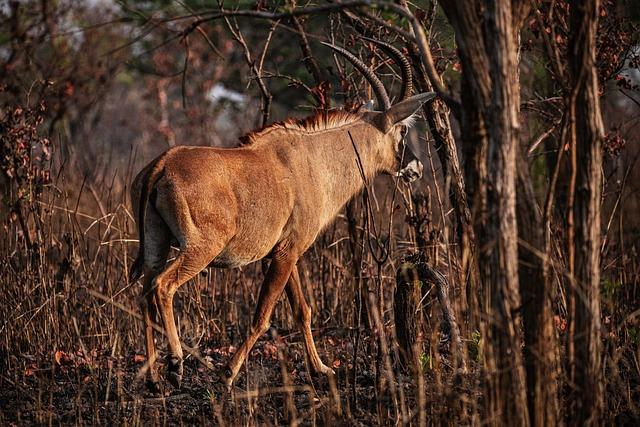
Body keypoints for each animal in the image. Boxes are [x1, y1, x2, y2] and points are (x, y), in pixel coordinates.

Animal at [131, 41, 438, 392]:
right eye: (402, 131)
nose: (416, 168)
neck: (315, 160)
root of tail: (163, 163)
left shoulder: (285, 252)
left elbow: (302, 310)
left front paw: (321, 370)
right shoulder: (288, 252)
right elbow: (262, 316)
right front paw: (228, 373)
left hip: (156, 245)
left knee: (145, 293)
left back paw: (154, 379)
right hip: (200, 249)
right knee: (163, 286)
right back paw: (176, 365)